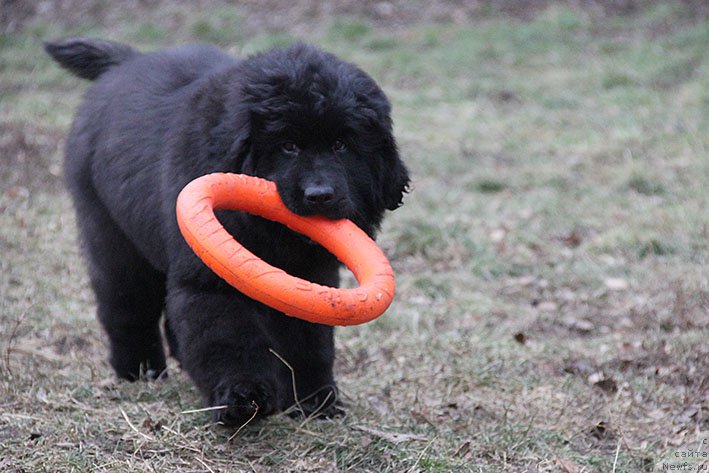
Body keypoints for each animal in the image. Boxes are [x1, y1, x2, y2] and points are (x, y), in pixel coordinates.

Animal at [45, 37, 410, 424]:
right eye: (288, 146)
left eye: (342, 145)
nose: (319, 195)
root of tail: (126, 61)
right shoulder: (210, 280)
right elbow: (229, 340)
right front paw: (244, 398)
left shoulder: (311, 281)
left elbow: (310, 341)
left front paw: (316, 402)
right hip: (112, 236)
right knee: (127, 304)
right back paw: (140, 371)